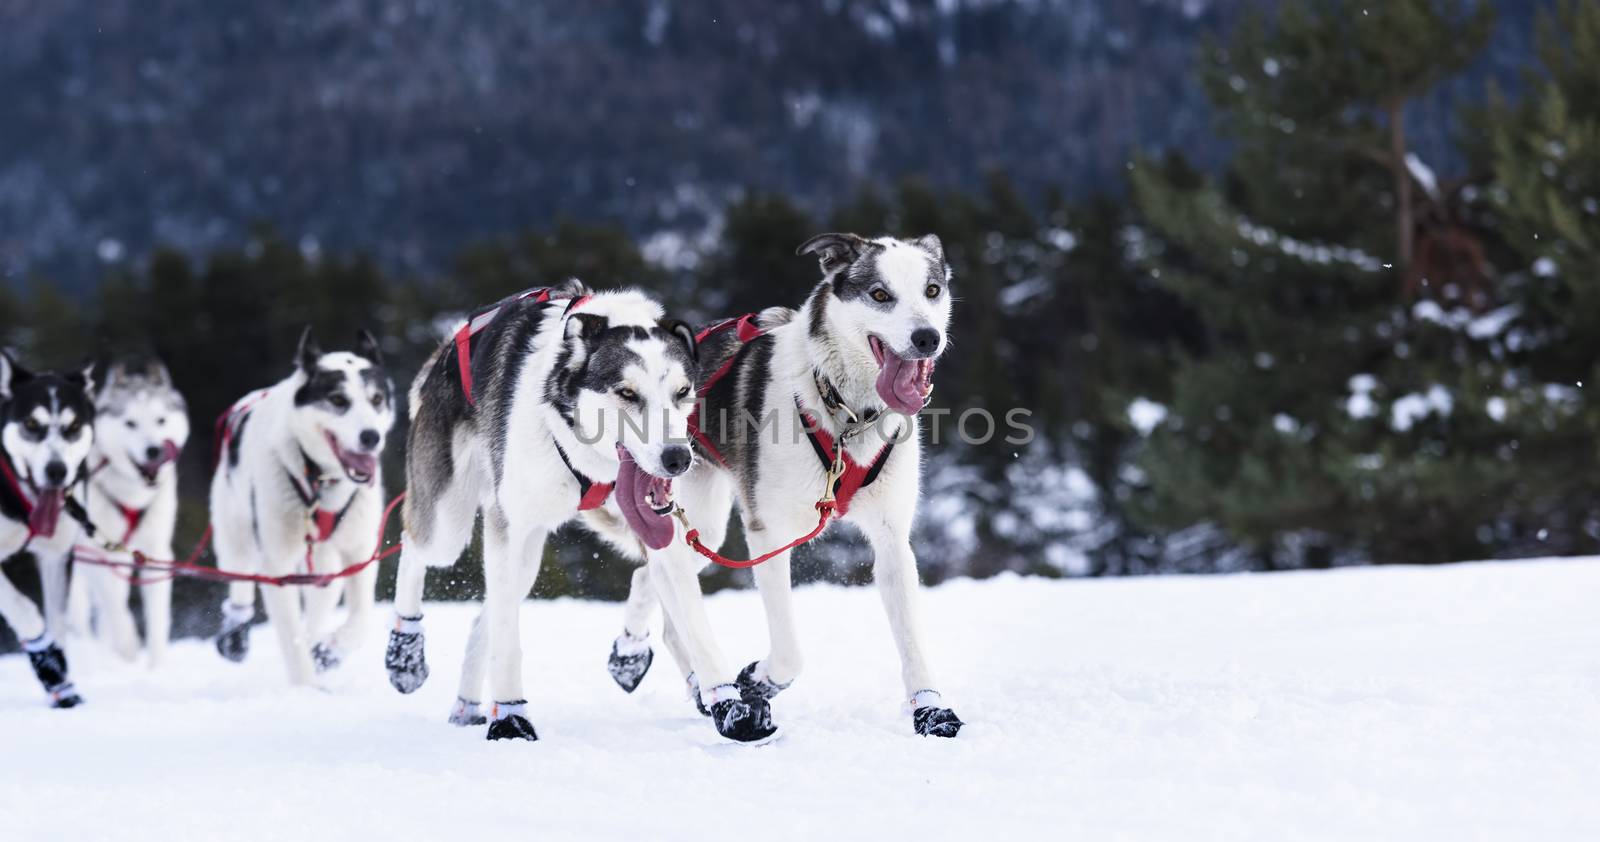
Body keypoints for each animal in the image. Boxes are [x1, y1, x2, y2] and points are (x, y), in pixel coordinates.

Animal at [0, 353, 97, 710]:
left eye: (73, 427)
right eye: (31, 424)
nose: (57, 471)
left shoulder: (57, 556)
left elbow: (58, 619)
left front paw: (61, 683)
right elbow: (22, 607)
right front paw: (47, 662)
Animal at [66, 356, 191, 665]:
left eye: (160, 420)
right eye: (130, 423)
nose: (154, 450)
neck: (132, 497)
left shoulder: (157, 552)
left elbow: (157, 621)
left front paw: (157, 667)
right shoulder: (98, 553)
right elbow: (117, 610)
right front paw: (129, 650)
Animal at [209, 328, 393, 685]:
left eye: (376, 399)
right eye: (338, 400)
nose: (371, 437)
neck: (320, 480)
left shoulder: (359, 551)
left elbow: (361, 617)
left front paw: (330, 650)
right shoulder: (276, 566)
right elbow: (291, 639)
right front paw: (305, 687)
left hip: (325, 565)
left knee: (318, 610)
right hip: (235, 533)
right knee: (239, 578)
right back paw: (234, 635)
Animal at [387, 286, 787, 742]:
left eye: (683, 391)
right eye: (627, 393)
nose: (678, 459)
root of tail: (446, 346)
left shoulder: (664, 534)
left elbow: (695, 623)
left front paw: (729, 704)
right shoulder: (510, 525)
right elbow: (508, 639)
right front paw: (510, 717)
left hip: (532, 552)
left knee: (487, 613)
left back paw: (467, 702)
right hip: (450, 525)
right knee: (417, 548)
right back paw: (405, 654)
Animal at [604, 230, 960, 739]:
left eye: (932, 291)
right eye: (879, 294)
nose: (927, 338)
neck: (844, 415)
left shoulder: (892, 537)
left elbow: (911, 637)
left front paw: (930, 709)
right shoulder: (768, 535)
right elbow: (790, 653)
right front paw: (757, 681)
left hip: (706, 530)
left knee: (652, 581)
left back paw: (654, 663)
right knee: (664, 570)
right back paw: (657, 663)